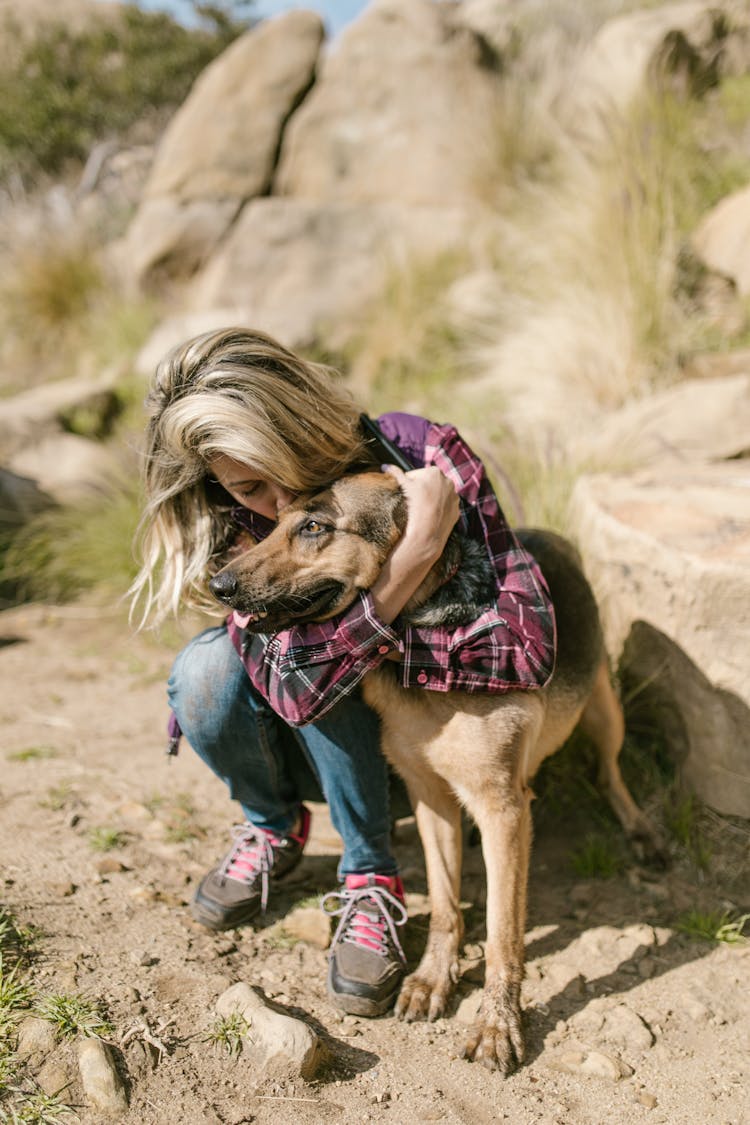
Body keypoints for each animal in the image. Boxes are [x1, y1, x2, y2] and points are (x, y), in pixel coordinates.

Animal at [210, 470, 661, 1075]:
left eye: (314, 527)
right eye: (276, 523)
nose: (218, 584)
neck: (416, 638)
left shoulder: (502, 810)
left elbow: (502, 934)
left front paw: (498, 1024)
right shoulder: (431, 798)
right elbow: (447, 909)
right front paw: (431, 980)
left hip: (603, 709)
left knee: (611, 773)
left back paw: (641, 832)